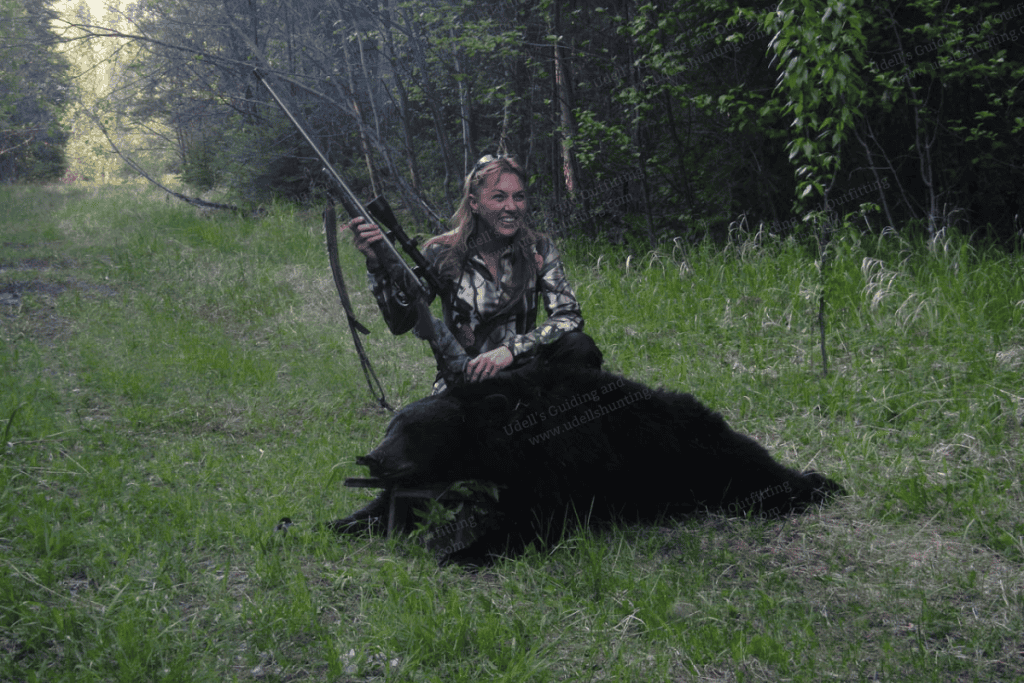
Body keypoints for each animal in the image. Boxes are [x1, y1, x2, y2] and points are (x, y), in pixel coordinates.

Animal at [330, 360, 844, 564]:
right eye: (391, 427)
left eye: (415, 433)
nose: (373, 458)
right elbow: (393, 508)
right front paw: (334, 523)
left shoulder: (558, 468)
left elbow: (536, 520)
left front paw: (465, 553)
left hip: (701, 454)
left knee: (755, 473)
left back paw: (817, 485)